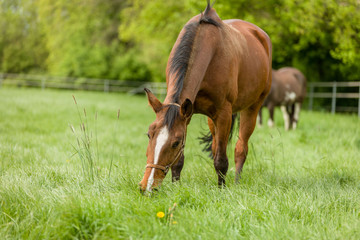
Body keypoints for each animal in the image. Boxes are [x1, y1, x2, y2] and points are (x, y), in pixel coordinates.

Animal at [139, 0, 272, 193]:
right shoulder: (188, 114)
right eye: (149, 134)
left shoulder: (224, 114)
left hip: (252, 108)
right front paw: (176, 187)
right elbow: (180, 161)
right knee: (217, 146)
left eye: (175, 143)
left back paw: (236, 182)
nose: (147, 186)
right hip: (212, 118)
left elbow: (221, 160)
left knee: (240, 149)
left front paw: (221, 190)